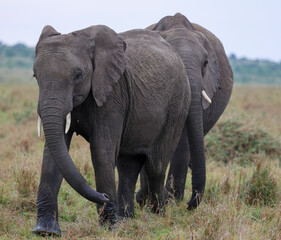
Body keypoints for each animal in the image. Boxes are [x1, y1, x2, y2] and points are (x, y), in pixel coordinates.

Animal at [31, 24, 191, 236]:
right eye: (35, 76)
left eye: (78, 75)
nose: (105, 196)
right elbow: (53, 152)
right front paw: (45, 231)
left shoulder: (113, 94)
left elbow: (101, 150)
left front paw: (110, 227)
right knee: (128, 166)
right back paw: (127, 219)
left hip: (178, 105)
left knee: (155, 165)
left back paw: (158, 217)